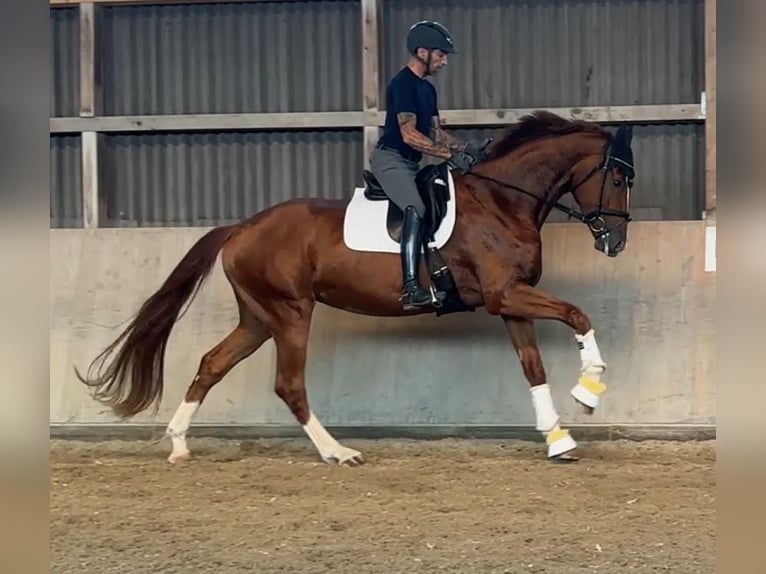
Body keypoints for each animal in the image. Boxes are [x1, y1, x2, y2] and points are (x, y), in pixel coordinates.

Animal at [76, 111, 636, 468]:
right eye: (617, 178)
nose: (615, 242)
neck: (501, 201)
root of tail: (241, 228)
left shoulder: (509, 301)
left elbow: (533, 368)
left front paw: (558, 439)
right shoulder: (505, 295)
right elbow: (578, 315)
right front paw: (589, 391)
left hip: (259, 318)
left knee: (212, 363)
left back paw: (178, 445)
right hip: (291, 313)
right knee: (289, 384)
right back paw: (337, 453)